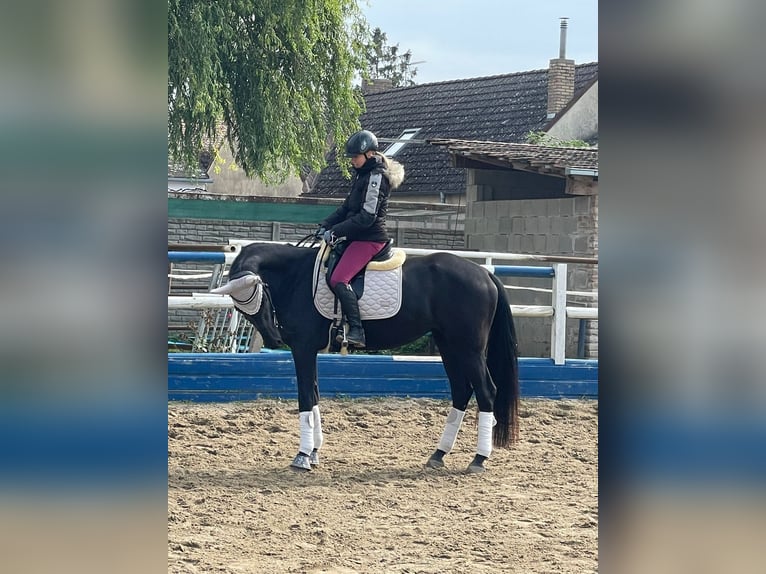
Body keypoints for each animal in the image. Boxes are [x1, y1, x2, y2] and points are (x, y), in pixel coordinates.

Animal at [213, 241, 520, 474]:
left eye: (259, 295)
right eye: (240, 308)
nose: (273, 339)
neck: (296, 277)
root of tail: (484, 274)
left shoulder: (302, 348)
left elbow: (306, 397)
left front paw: (302, 456)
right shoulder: (310, 350)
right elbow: (314, 395)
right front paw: (314, 452)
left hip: (469, 348)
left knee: (486, 391)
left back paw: (479, 459)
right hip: (450, 346)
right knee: (461, 391)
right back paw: (438, 454)